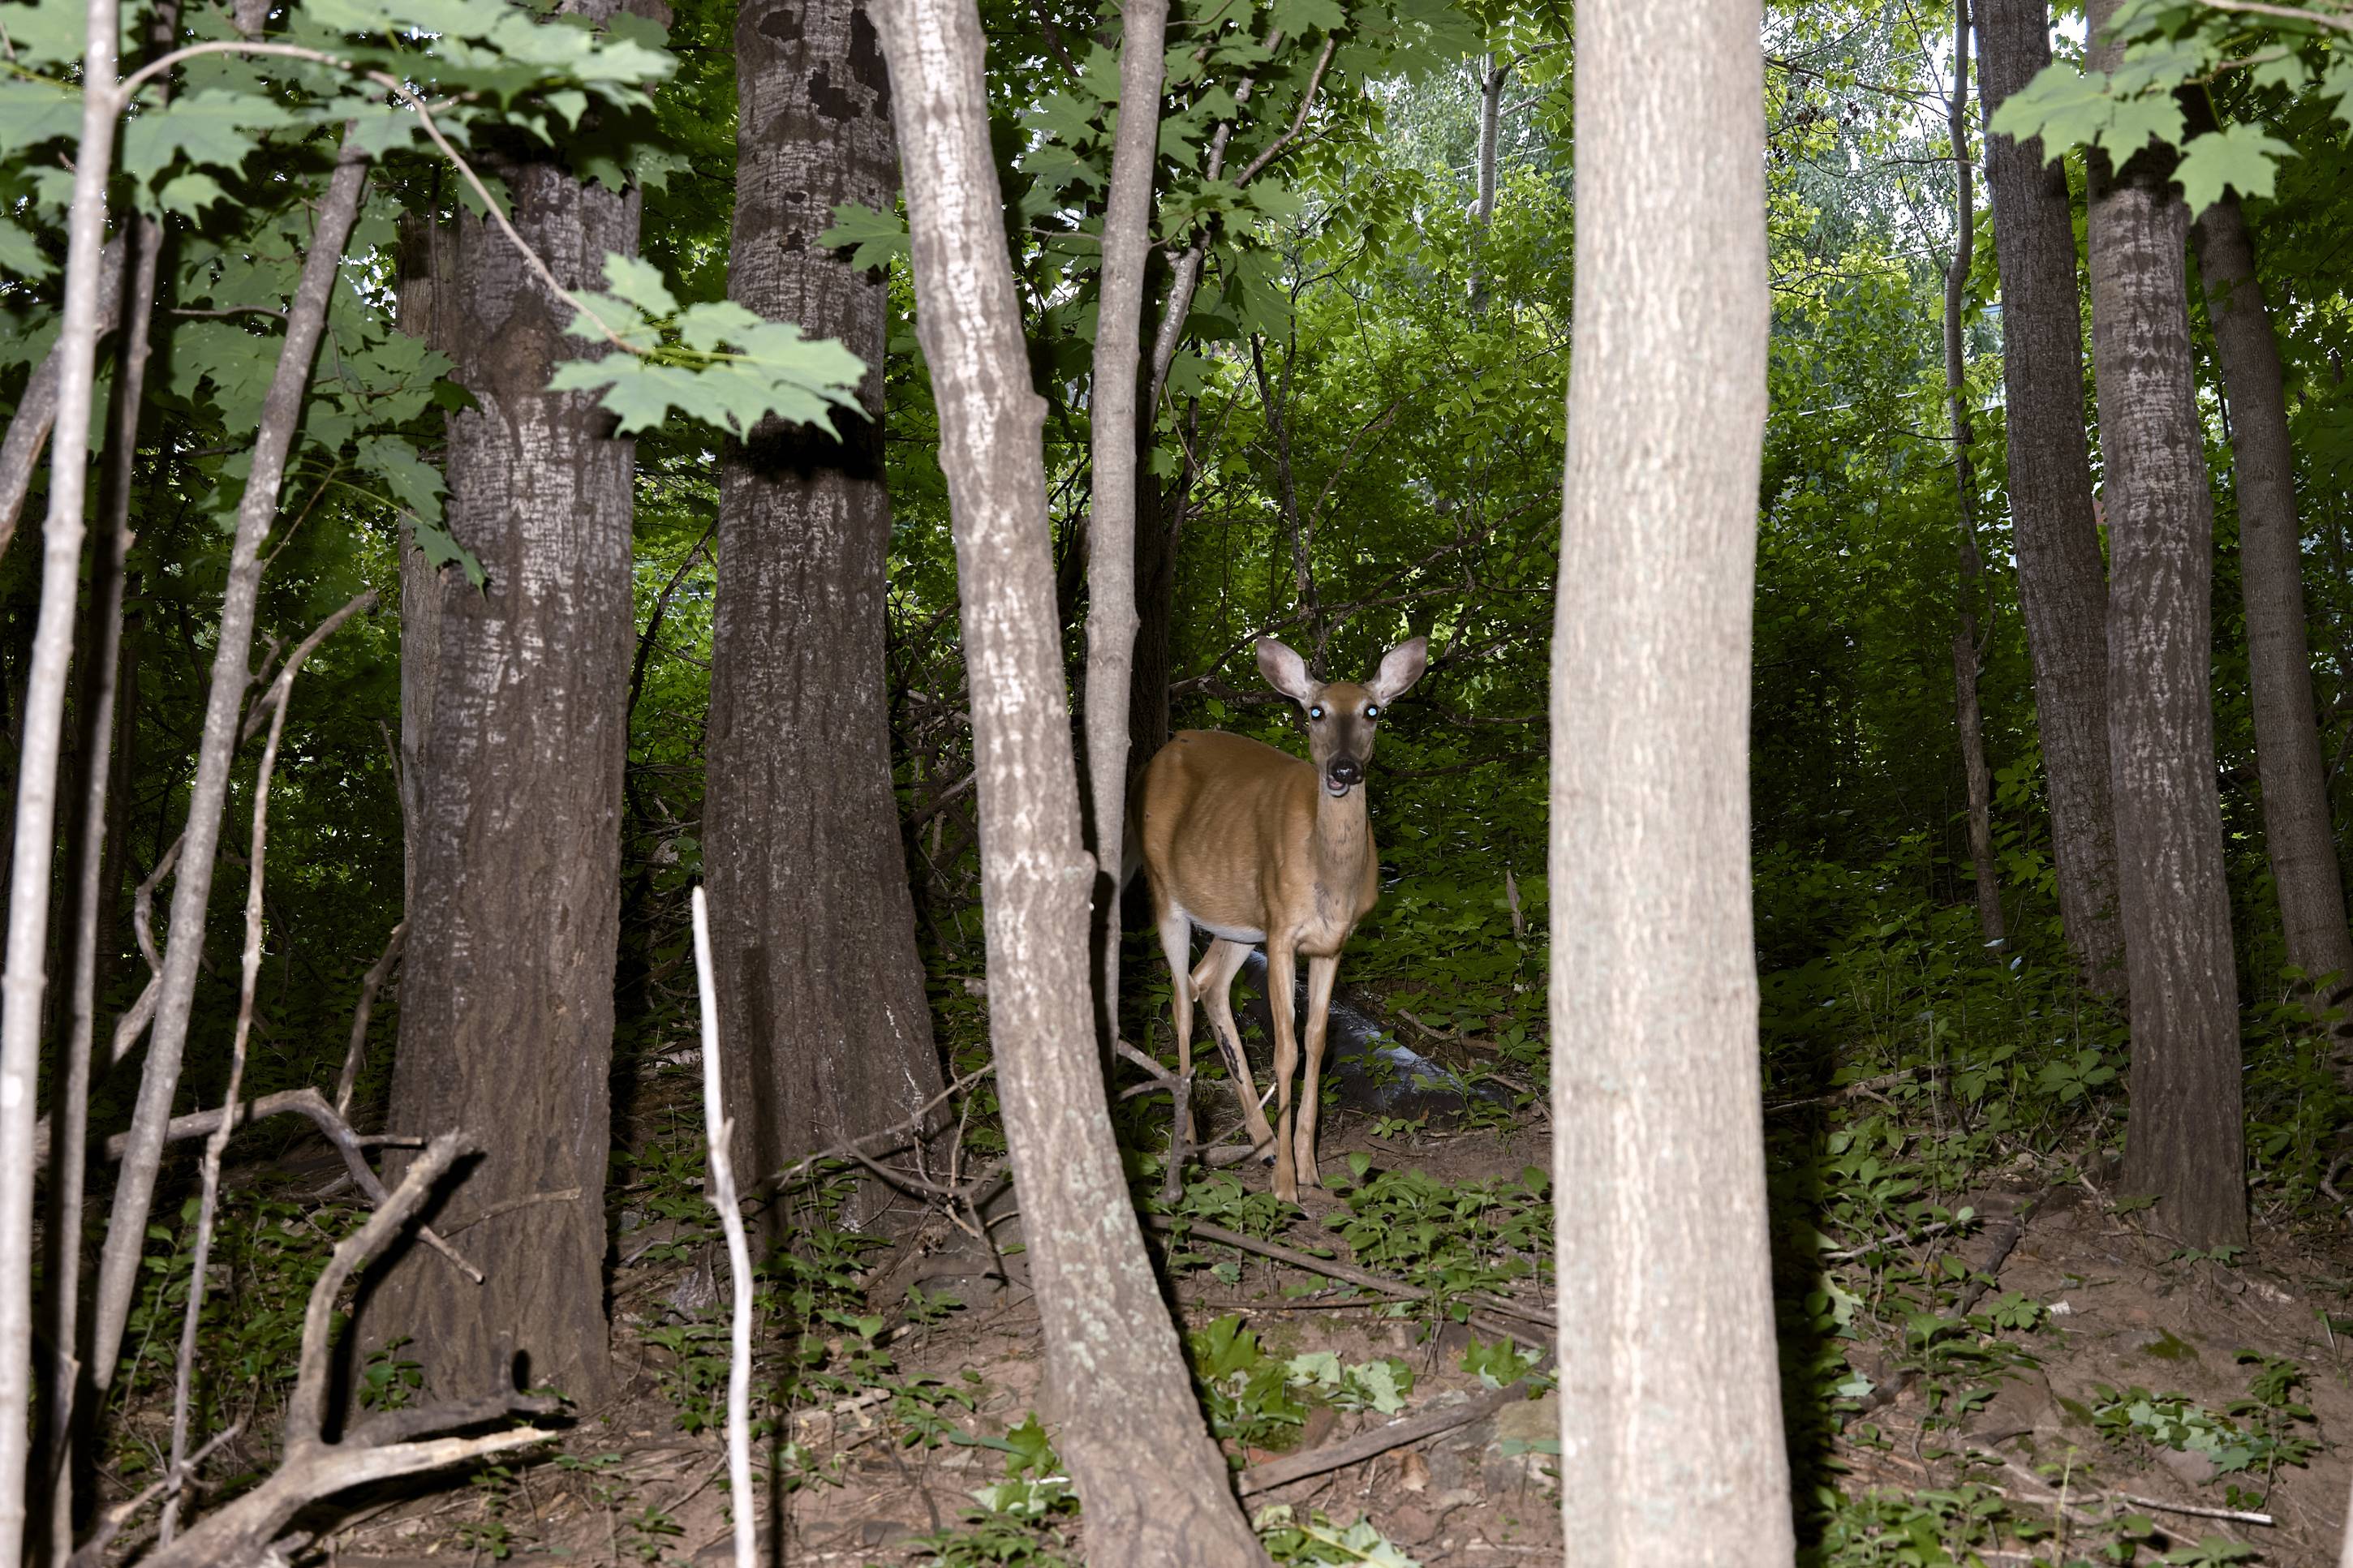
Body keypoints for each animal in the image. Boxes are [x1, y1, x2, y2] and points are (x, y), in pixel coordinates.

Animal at [1128, 635, 1428, 1203]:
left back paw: (1262, 1142)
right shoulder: (1283, 931)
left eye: (1373, 711)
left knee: (1209, 984)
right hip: (1167, 892)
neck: (1329, 877)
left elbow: (1317, 1042)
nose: (1344, 769)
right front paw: (1287, 1184)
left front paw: (1310, 1170)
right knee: (1180, 998)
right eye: (1315, 711)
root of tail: (1160, 754)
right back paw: (1192, 1147)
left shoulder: (1333, 943)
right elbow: (1286, 1049)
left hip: (1239, 921)